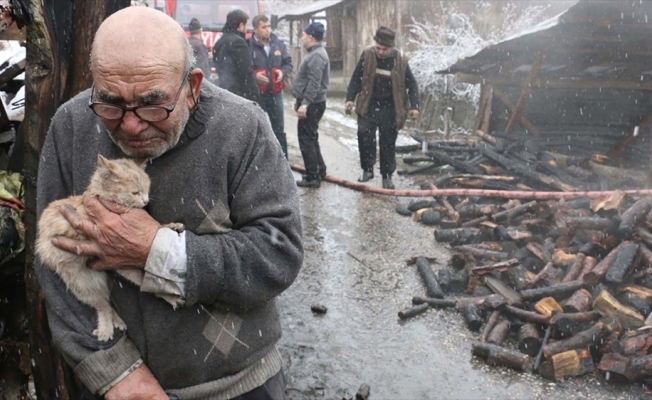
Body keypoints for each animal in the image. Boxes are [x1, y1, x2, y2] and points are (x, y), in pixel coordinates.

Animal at [36, 155, 183, 342]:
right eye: (135, 192)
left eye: (146, 189)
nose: (146, 201)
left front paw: (171, 226)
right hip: (83, 284)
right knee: (103, 305)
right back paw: (106, 329)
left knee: (137, 287)